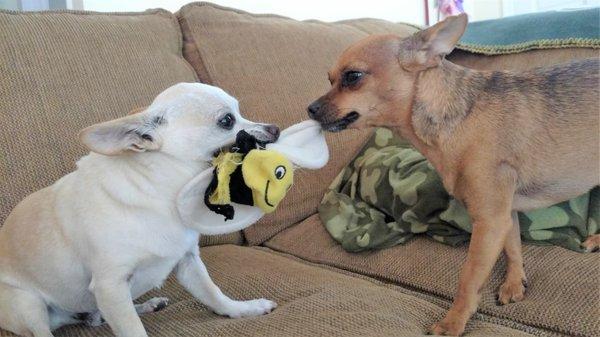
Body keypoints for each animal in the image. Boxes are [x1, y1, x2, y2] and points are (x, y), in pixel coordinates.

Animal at [0, 82, 280, 336]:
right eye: (227, 120)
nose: (275, 128)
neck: (165, 193)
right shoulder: (110, 287)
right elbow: (132, 329)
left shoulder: (188, 261)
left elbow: (213, 293)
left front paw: (243, 309)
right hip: (28, 305)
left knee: (98, 318)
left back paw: (146, 305)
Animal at [310, 12, 600, 334]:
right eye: (329, 79)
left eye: (352, 77)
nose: (310, 109)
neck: (459, 117)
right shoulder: (504, 215)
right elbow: (512, 248)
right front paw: (514, 283)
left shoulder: (489, 222)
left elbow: (469, 278)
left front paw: (453, 322)